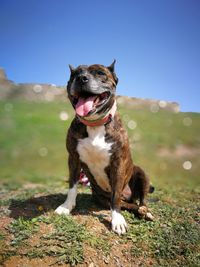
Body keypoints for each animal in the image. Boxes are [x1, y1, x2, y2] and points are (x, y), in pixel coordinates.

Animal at [55, 60, 154, 234]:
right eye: (75, 74)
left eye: (100, 73)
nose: (81, 78)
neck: (95, 124)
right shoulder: (73, 158)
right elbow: (72, 185)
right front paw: (67, 206)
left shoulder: (118, 163)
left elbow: (115, 197)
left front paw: (117, 220)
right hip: (101, 197)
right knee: (128, 205)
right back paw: (139, 210)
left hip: (141, 173)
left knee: (139, 200)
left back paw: (145, 211)